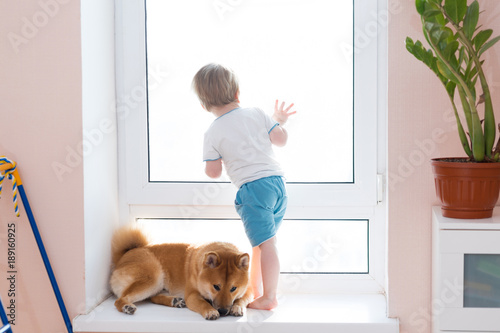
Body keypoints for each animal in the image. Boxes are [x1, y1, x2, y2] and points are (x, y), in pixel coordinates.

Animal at [110, 226, 254, 320]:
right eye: (216, 287)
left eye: (233, 288)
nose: (223, 311)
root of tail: (124, 256)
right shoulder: (192, 295)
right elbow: (203, 303)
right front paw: (210, 311)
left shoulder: (248, 292)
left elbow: (241, 300)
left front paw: (237, 307)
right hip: (154, 278)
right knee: (120, 299)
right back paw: (126, 307)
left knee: (153, 297)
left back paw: (175, 301)